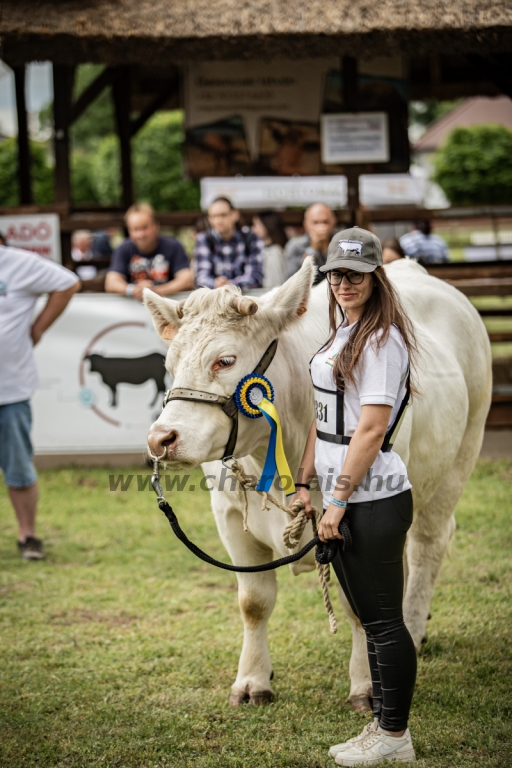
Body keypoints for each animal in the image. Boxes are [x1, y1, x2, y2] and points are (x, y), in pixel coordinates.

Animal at [143, 260, 492, 712]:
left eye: (224, 360)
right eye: (170, 366)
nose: (161, 438)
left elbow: (360, 605)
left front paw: (366, 687)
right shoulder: (229, 513)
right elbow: (253, 603)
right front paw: (252, 681)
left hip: (460, 458)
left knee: (429, 544)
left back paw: (414, 628)